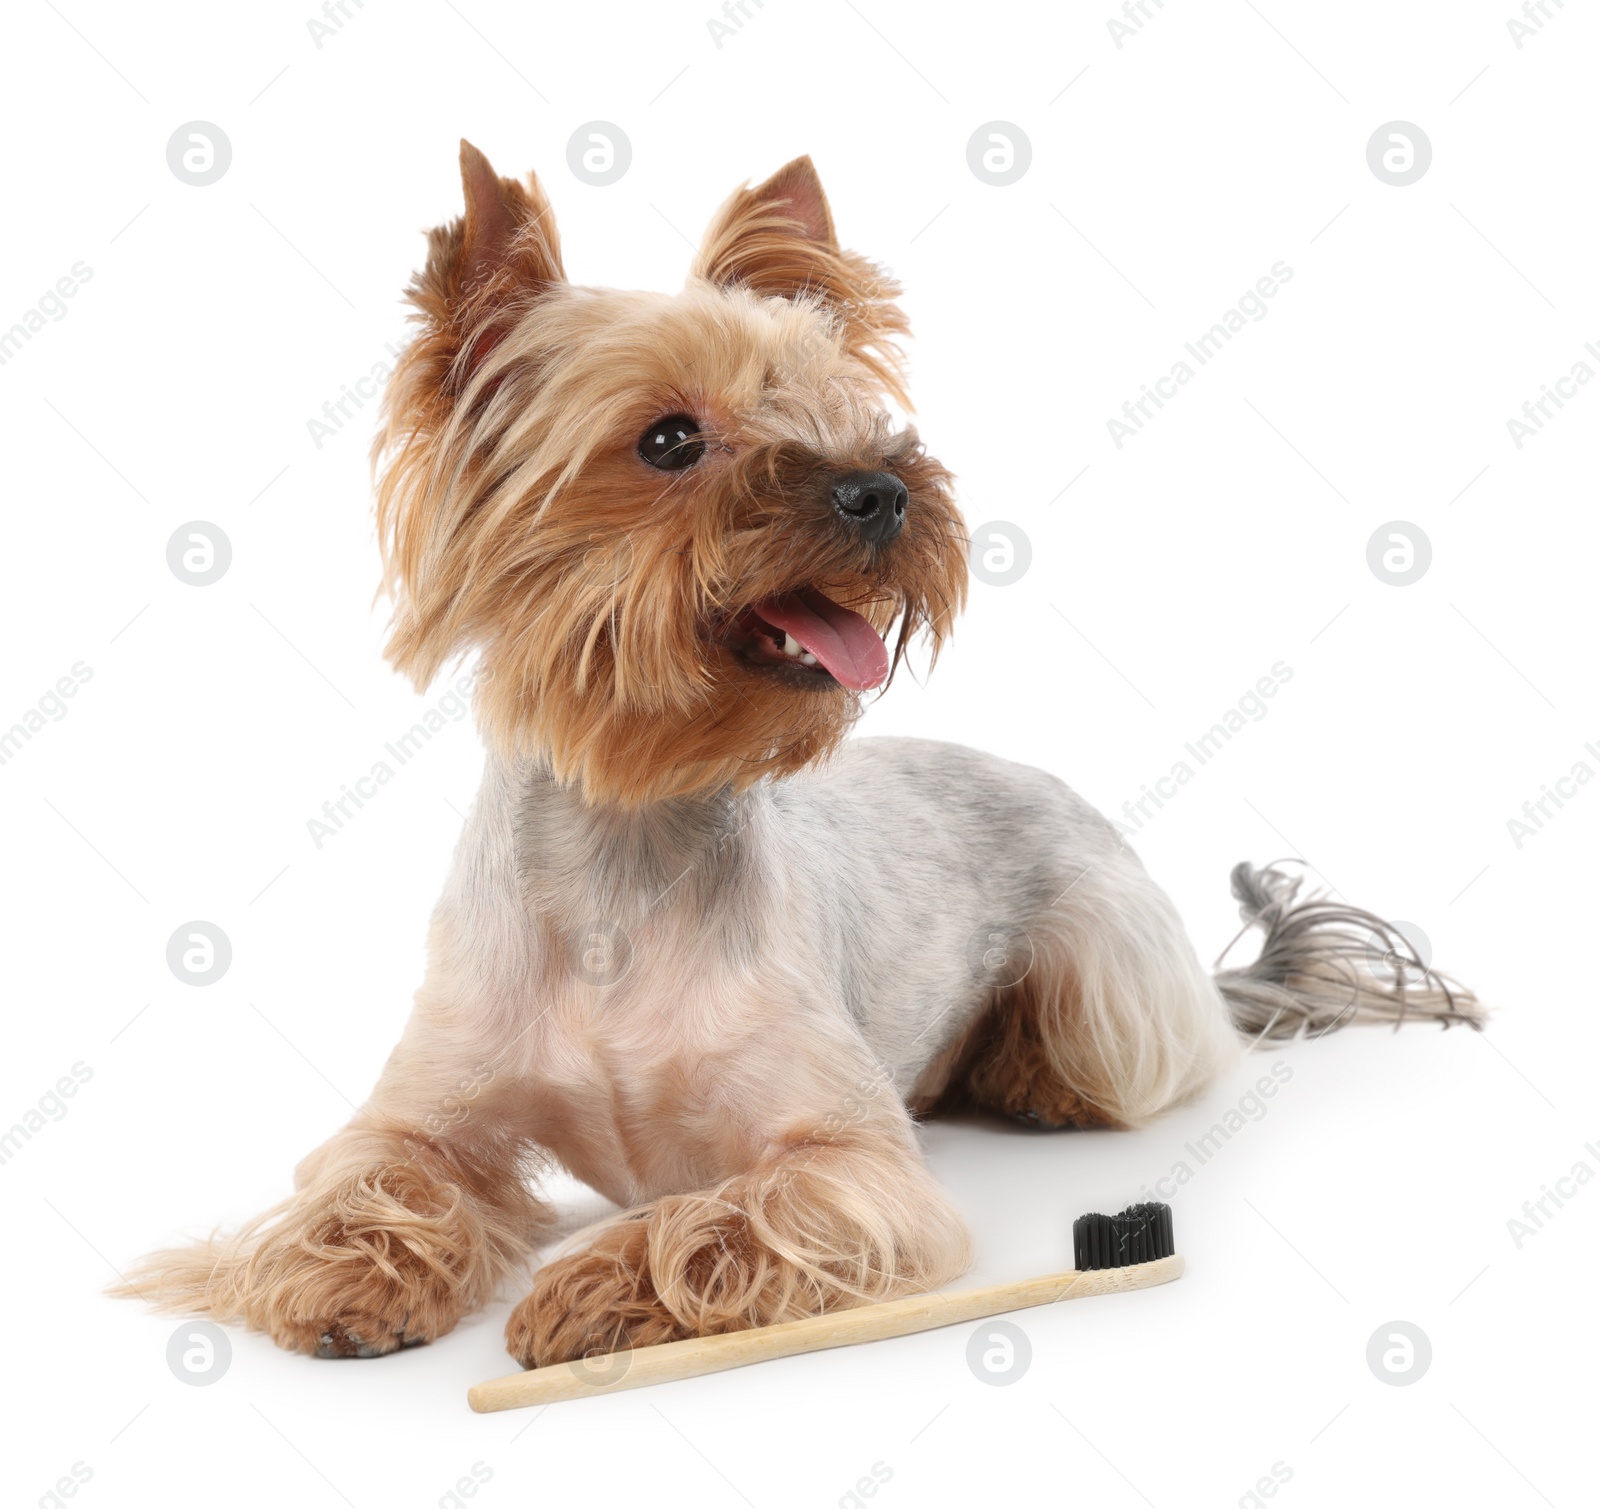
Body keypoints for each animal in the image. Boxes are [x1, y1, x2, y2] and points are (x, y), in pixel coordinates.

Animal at [116, 141, 1484, 1369]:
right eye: (669, 441)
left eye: (853, 415)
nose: (881, 487)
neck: (632, 828)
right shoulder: (425, 1106)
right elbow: (376, 1172)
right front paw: (353, 1274)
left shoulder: (849, 1158)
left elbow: (740, 1209)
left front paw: (599, 1289)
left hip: (1107, 978)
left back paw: (1027, 1075)